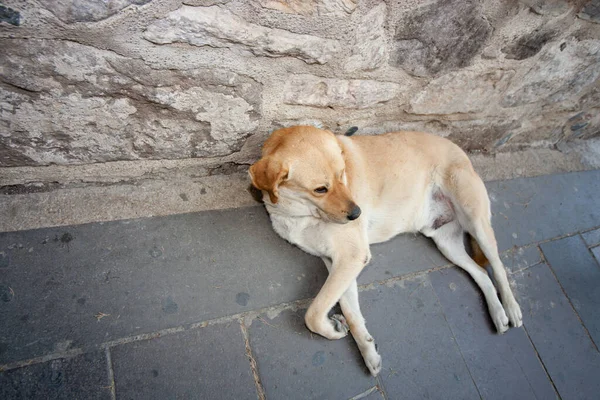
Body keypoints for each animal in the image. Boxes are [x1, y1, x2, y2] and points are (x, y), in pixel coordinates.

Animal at [248, 126, 520, 376]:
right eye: (320, 189)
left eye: (343, 174)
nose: (357, 213)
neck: (300, 214)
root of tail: (459, 149)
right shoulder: (338, 261)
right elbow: (349, 310)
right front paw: (365, 347)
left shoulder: (352, 256)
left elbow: (313, 314)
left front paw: (332, 329)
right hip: (447, 244)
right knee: (481, 273)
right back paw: (498, 314)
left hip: (476, 221)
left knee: (498, 267)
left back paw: (511, 308)